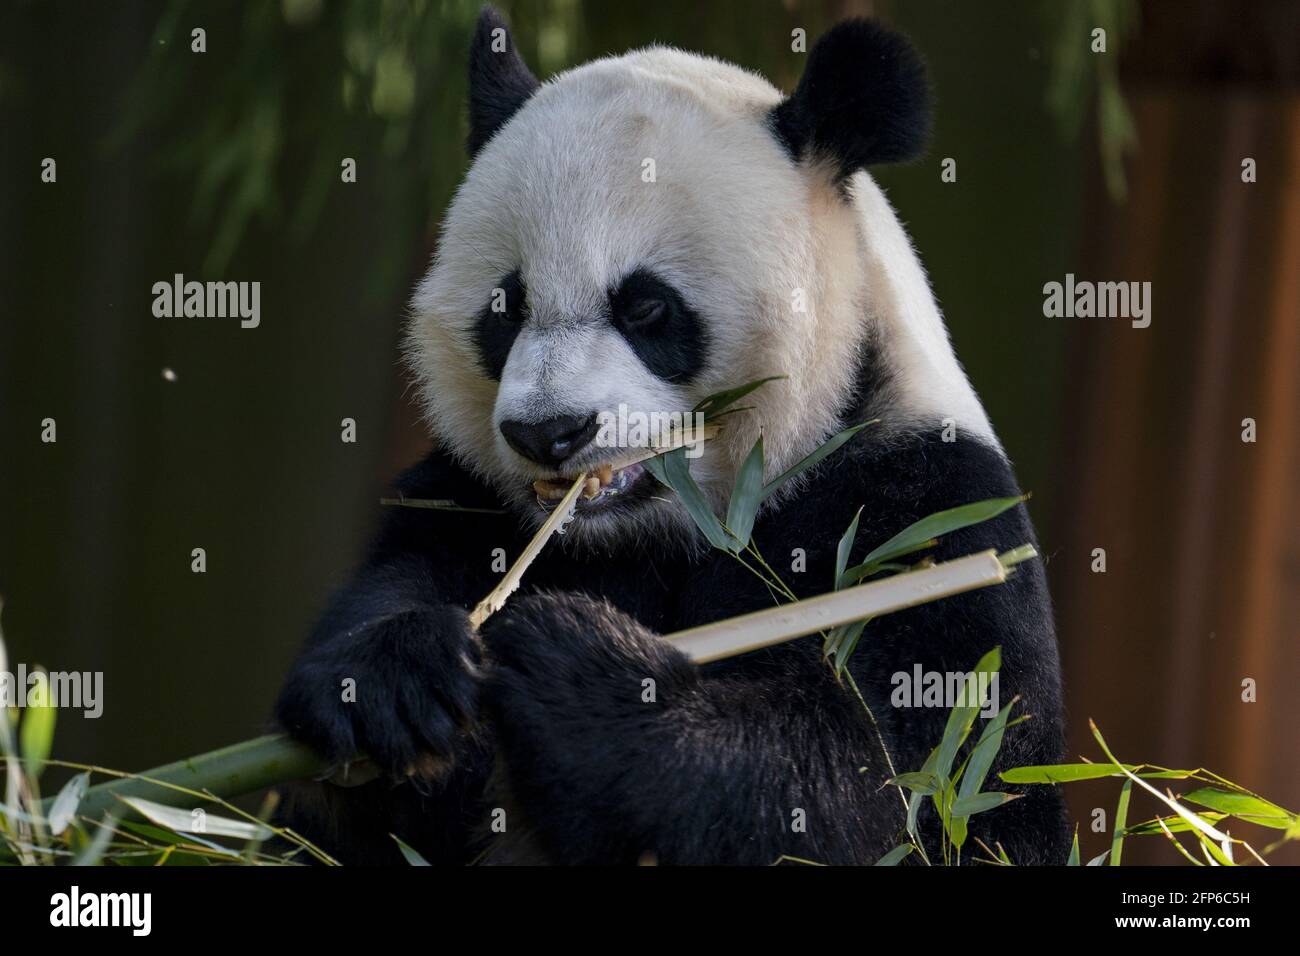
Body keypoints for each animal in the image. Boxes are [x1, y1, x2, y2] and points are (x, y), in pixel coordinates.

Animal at [271, 5, 1066, 868]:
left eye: (646, 306)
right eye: (507, 306)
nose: (549, 432)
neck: (663, 529)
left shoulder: (925, 512)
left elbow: (917, 787)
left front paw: (580, 680)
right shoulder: (469, 498)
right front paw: (392, 677)